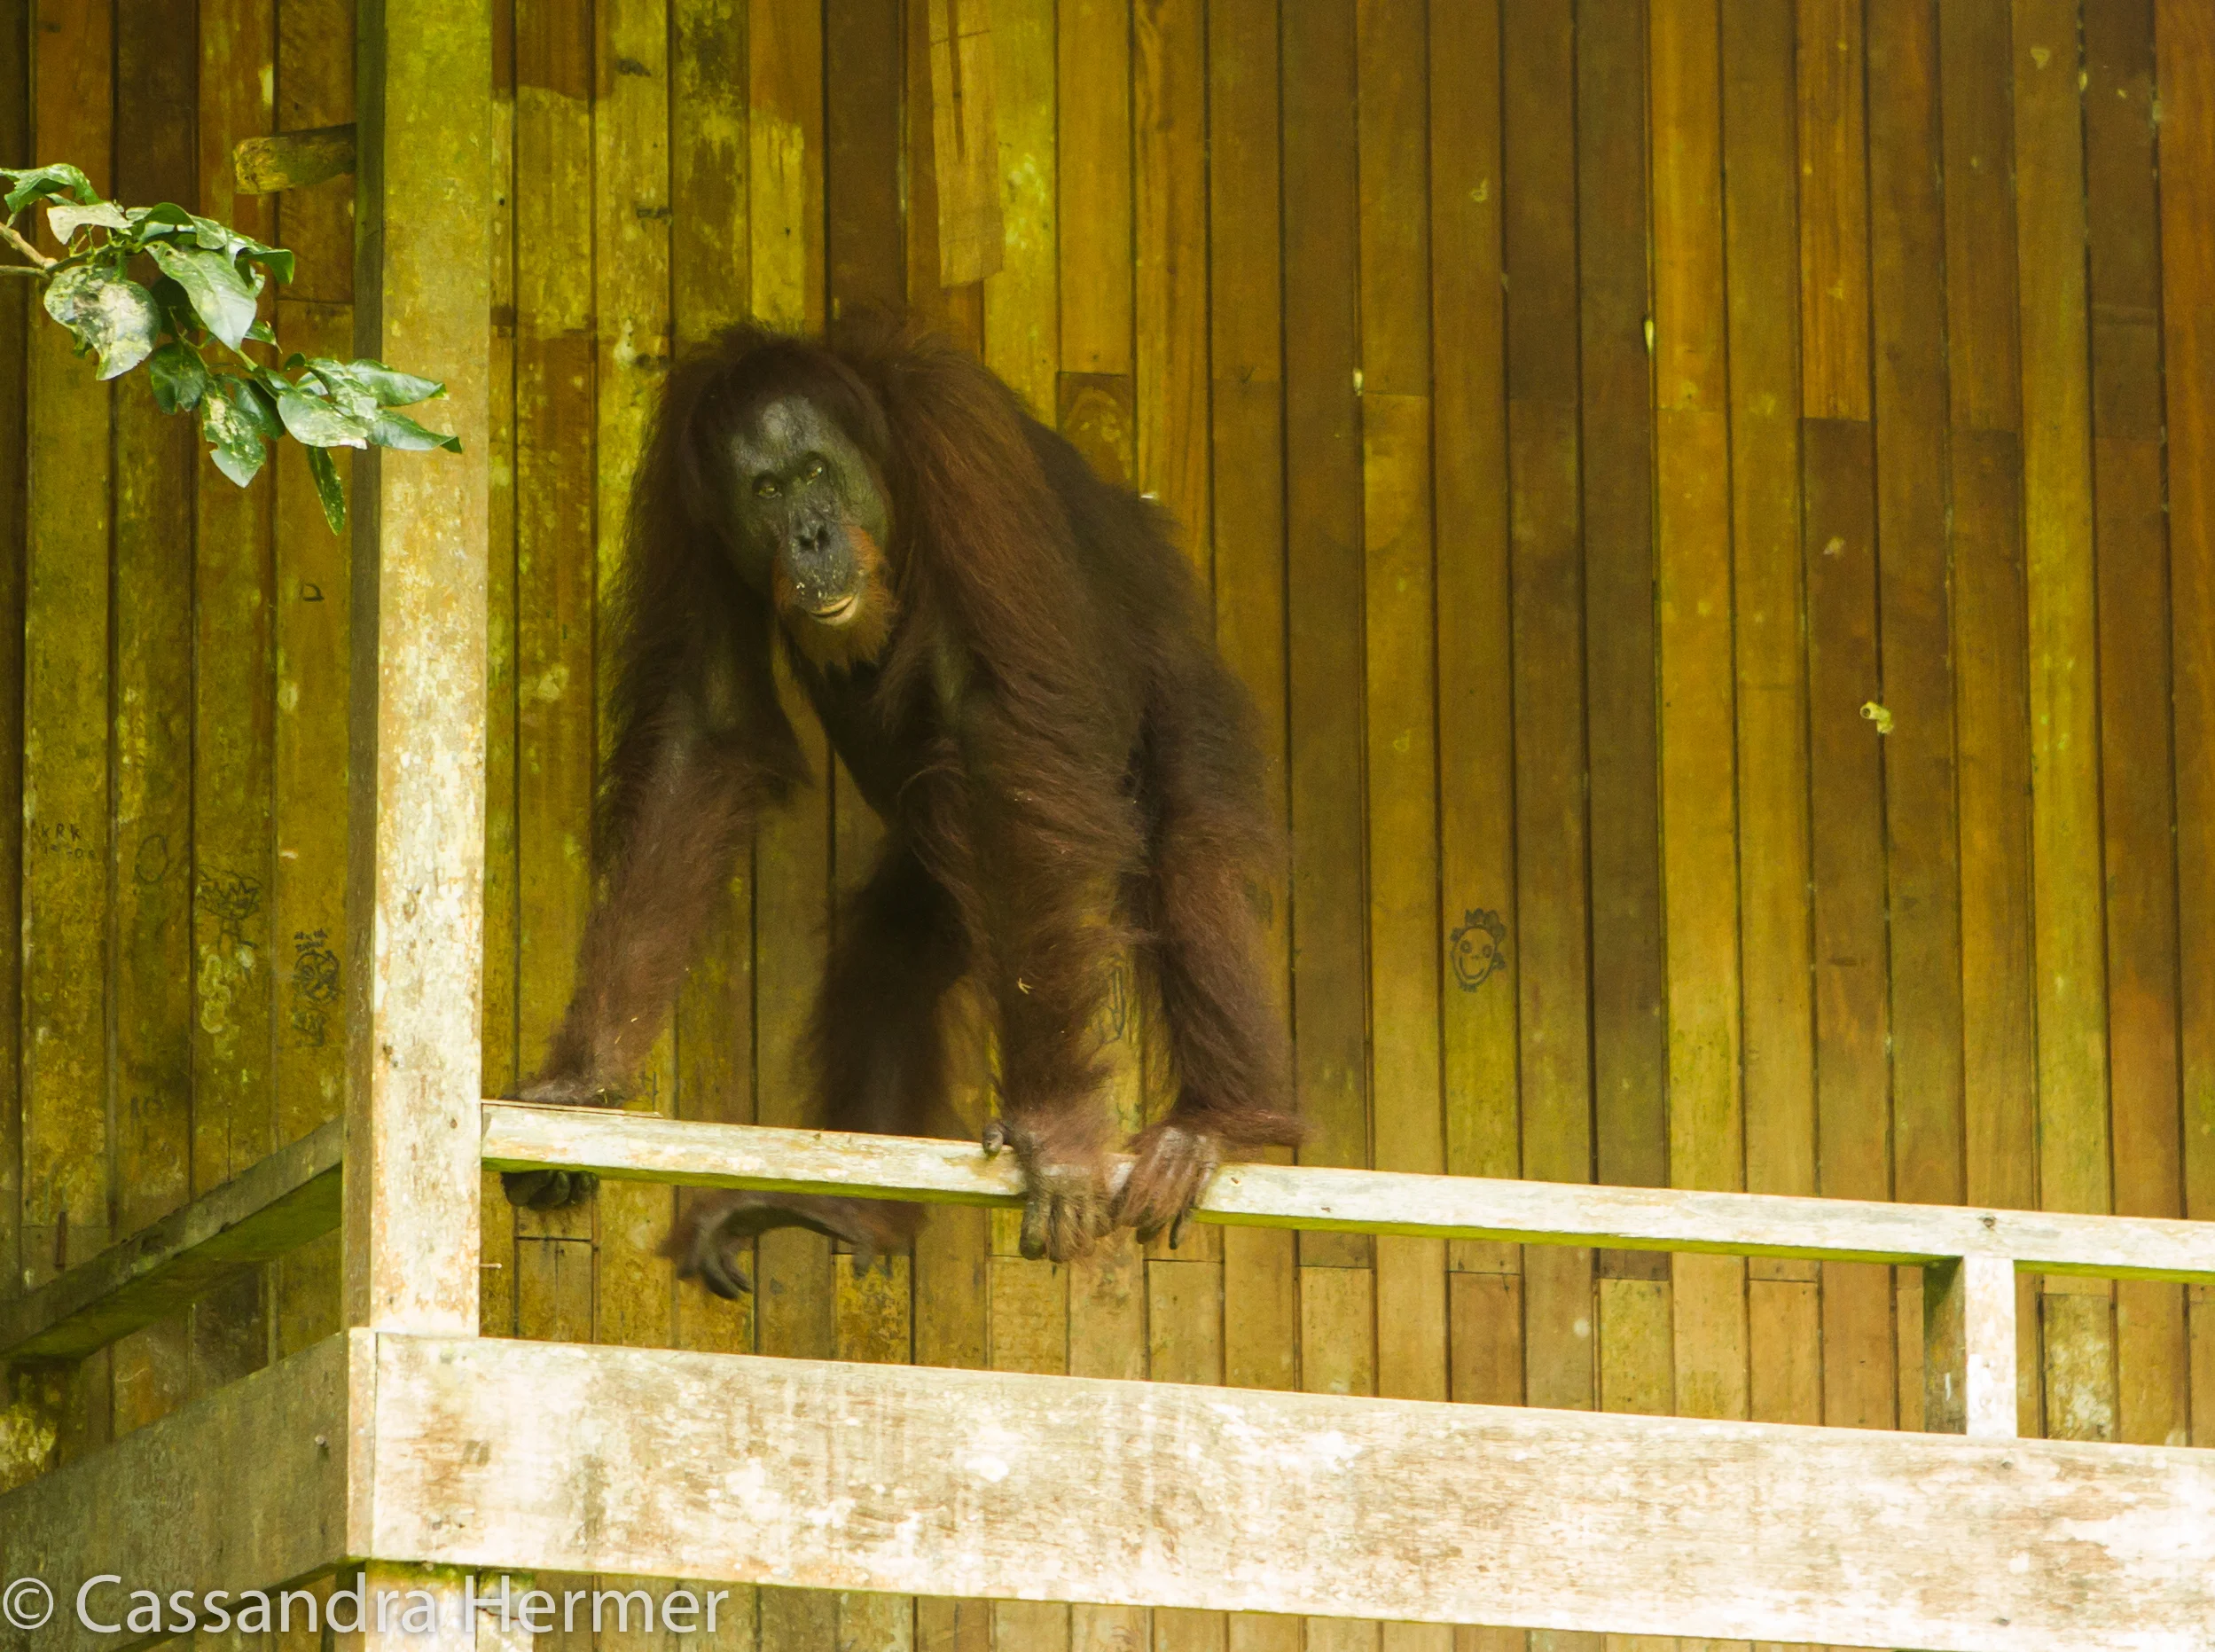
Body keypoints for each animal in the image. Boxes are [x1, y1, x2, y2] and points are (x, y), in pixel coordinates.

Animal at [501, 320, 1301, 1291]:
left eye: (814, 471)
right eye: (766, 491)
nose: (809, 536)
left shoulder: (958, 445)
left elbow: (1003, 727)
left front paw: (1055, 1133)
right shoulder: (685, 508)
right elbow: (707, 724)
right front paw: (584, 1084)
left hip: (1184, 694)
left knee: (1187, 856)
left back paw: (1221, 1125)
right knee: (896, 938)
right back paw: (853, 1212)